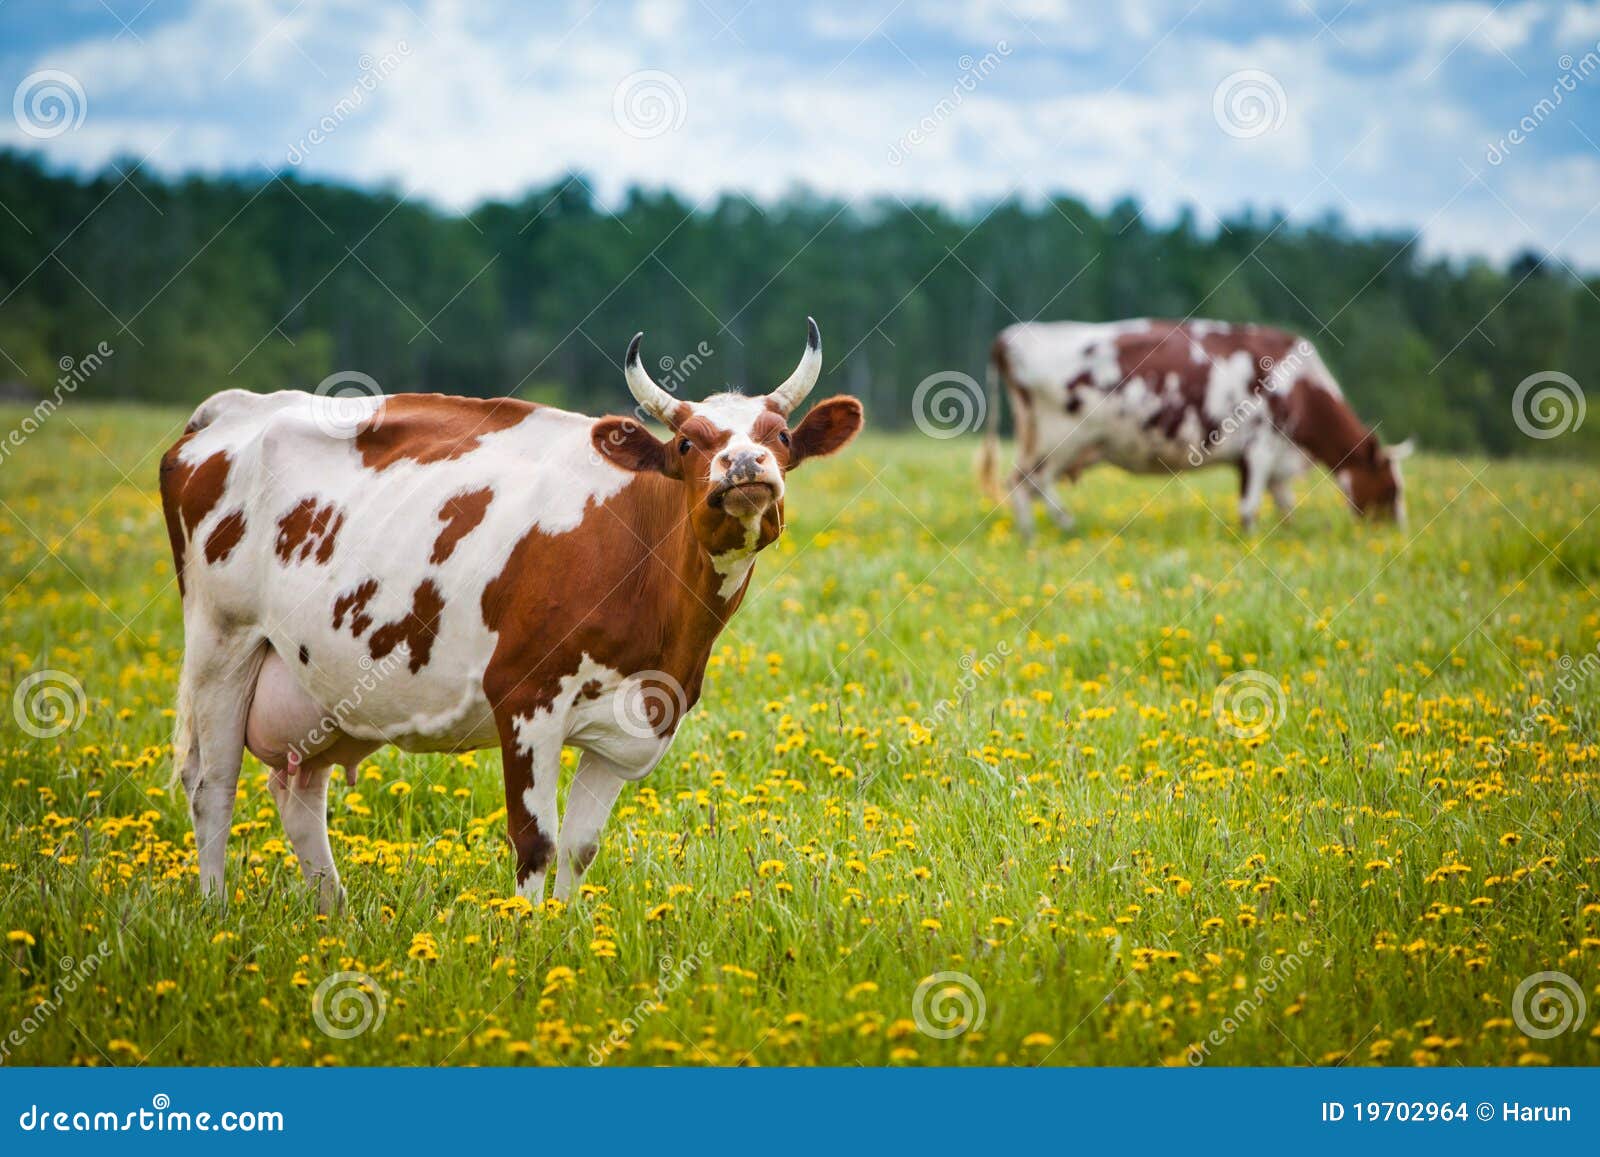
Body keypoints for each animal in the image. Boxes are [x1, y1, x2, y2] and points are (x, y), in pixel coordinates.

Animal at [159, 321, 864, 908]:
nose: (744, 464)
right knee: (212, 787)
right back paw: (215, 913)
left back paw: (335, 915)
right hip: (223, 643)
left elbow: (580, 848)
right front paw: (524, 941)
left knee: (300, 790)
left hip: (312, 682)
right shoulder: (525, 700)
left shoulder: (630, 722)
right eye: (690, 443)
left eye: (779, 437)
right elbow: (536, 843)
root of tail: (239, 407)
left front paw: (569, 934)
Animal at [972, 316, 1414, 534]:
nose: (1397, 530)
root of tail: (1011, 337)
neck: (1301, 387)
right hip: (1059, 437)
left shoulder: (1272, 459)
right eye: (1392, 488)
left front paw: (1289, 534)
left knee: (1027, 483)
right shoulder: (1260, 446)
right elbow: (1251, 506)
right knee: (1026, 481)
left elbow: (1284, 502)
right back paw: (1055, 527)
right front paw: (1252, 538)